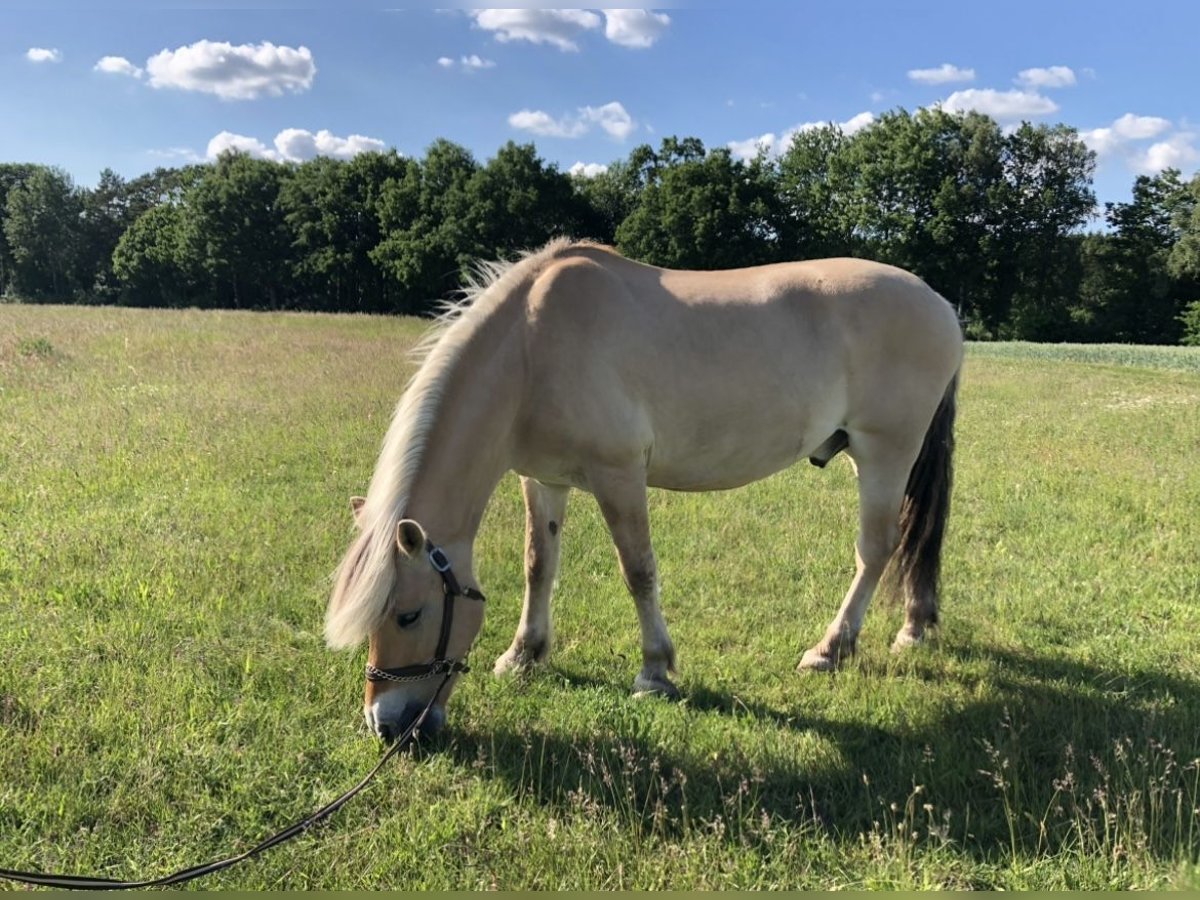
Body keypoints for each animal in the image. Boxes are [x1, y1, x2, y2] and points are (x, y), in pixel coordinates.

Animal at [328, 237, 964, 739]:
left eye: (408, 615)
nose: (386, 725)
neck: (534, 347)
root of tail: (939, 304)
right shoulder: (544, 478)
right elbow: (540, 564)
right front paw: (523, 655)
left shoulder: (619, 474)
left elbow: (638, 571)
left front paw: (655, 672)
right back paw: (913, 627)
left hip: (884, 452)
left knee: (877, 549)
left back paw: (830, 649)